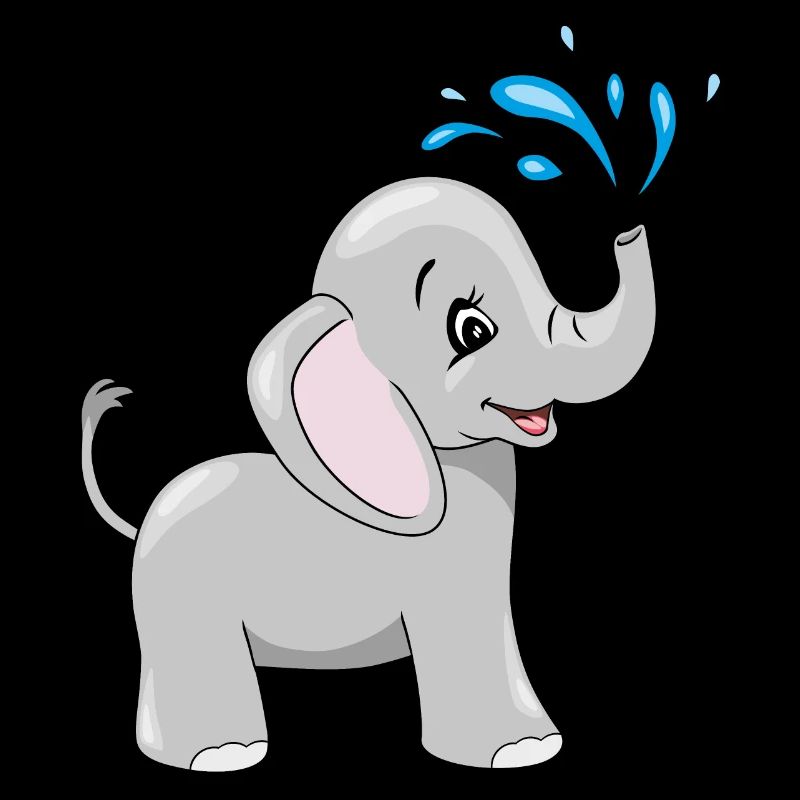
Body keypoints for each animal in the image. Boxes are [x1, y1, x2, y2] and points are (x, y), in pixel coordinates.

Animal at [81, 178, 655, 771]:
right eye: (471, 330)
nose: (627, 231)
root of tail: (145, 518)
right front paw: (519, 751)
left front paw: (532, 745)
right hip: (178, 588)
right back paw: (221, 754)